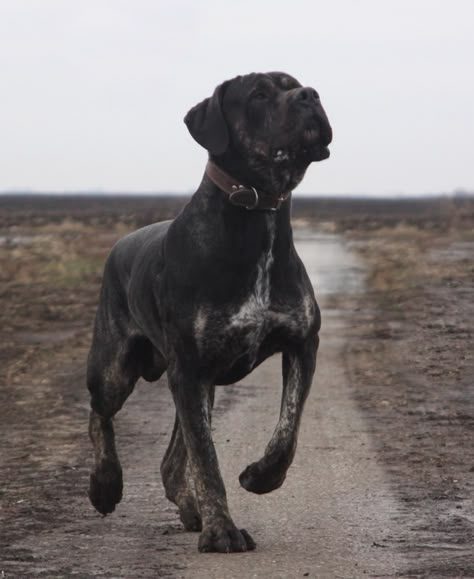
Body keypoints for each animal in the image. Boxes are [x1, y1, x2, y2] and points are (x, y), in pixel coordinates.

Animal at [87, 71, 332, 552]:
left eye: (294, 83)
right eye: (259, 94)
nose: (310, 95)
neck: (258, 216)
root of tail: (121, 243)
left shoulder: (301, 344)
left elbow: (288, 430)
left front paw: (260, 476)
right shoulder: (190, 368)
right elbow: (207, 458)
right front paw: (222, 531)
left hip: (201, 383)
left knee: (170, 460)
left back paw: (190, 509)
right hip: (115, 368)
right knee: (99, 414)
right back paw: (105, 485)